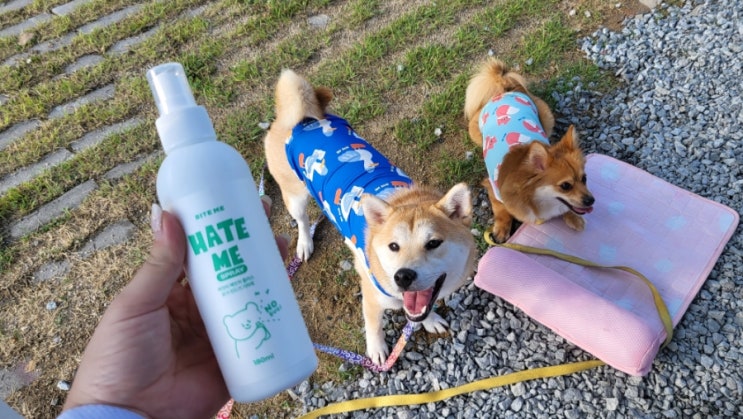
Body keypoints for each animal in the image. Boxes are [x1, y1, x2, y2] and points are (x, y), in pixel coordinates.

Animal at [264, 69, 477, 365]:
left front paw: (430, 320)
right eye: (393, 246)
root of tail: (302, 120)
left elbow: (419, 312)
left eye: (433, 243)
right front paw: (376, 350)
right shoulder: (372, 296)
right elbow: (373, 325)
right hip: (294, 196)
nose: (403, 276)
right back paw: (304, 243)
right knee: (303, 220)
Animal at [464, 58, 595, 243]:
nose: (591, 200)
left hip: (547, 118)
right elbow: (501, 210)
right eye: (565, 186)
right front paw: (502, 228)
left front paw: (573, 217)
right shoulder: (492, 188)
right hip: (475, 133)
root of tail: (503, 91)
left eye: (584, 179)